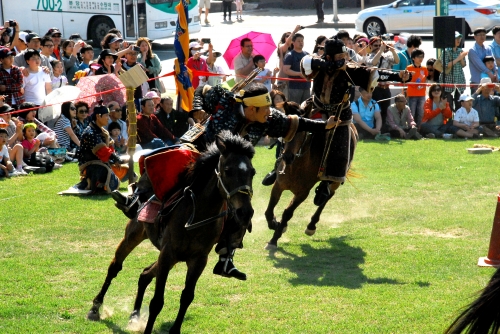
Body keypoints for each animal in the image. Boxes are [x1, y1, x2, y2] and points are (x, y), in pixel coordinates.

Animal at [86, 132, 256, 332]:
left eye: (252, 172)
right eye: (228, 170)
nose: (245, 212)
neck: (197, 214)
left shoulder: (198, 260)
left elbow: (187, 297)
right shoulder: (168, 254)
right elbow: (157, 302)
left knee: (145, 275)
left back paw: (135, 315)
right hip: (134, 235)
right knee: (115, 267)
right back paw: (95, 308)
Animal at [264, 108, 358, 249]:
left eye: (303, 134)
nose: (287, 157)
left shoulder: (303, 193)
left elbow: (287, 212)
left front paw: (274, 238)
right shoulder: (279, 185)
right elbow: (270, 209)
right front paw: (274, 224)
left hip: (335, 179)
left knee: (328, 195)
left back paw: (311, 225)